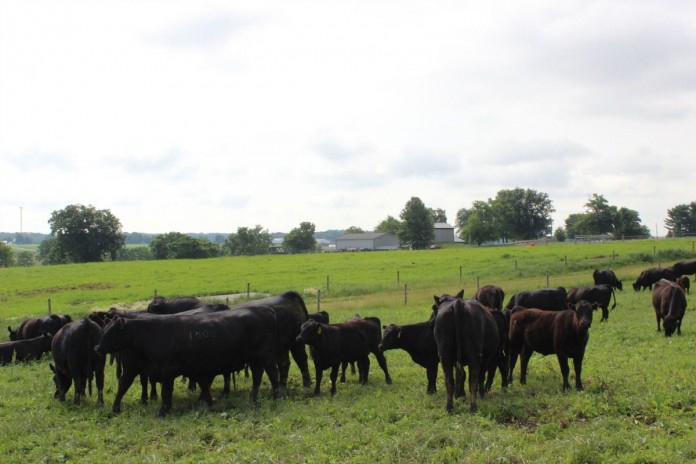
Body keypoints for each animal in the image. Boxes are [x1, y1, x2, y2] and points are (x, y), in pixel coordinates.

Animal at [95, 307, 281, 416]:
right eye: (104, 329)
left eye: (110, 332)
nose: (97, 348)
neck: (152, 334)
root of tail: (263, 310)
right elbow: (123, 386)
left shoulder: (168, 371)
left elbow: (166, 393)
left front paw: (163, 412)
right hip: (256, 360)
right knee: (257, 377)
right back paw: (253, 398)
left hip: (265, 357)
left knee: (272, 374)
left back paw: (277, 396)